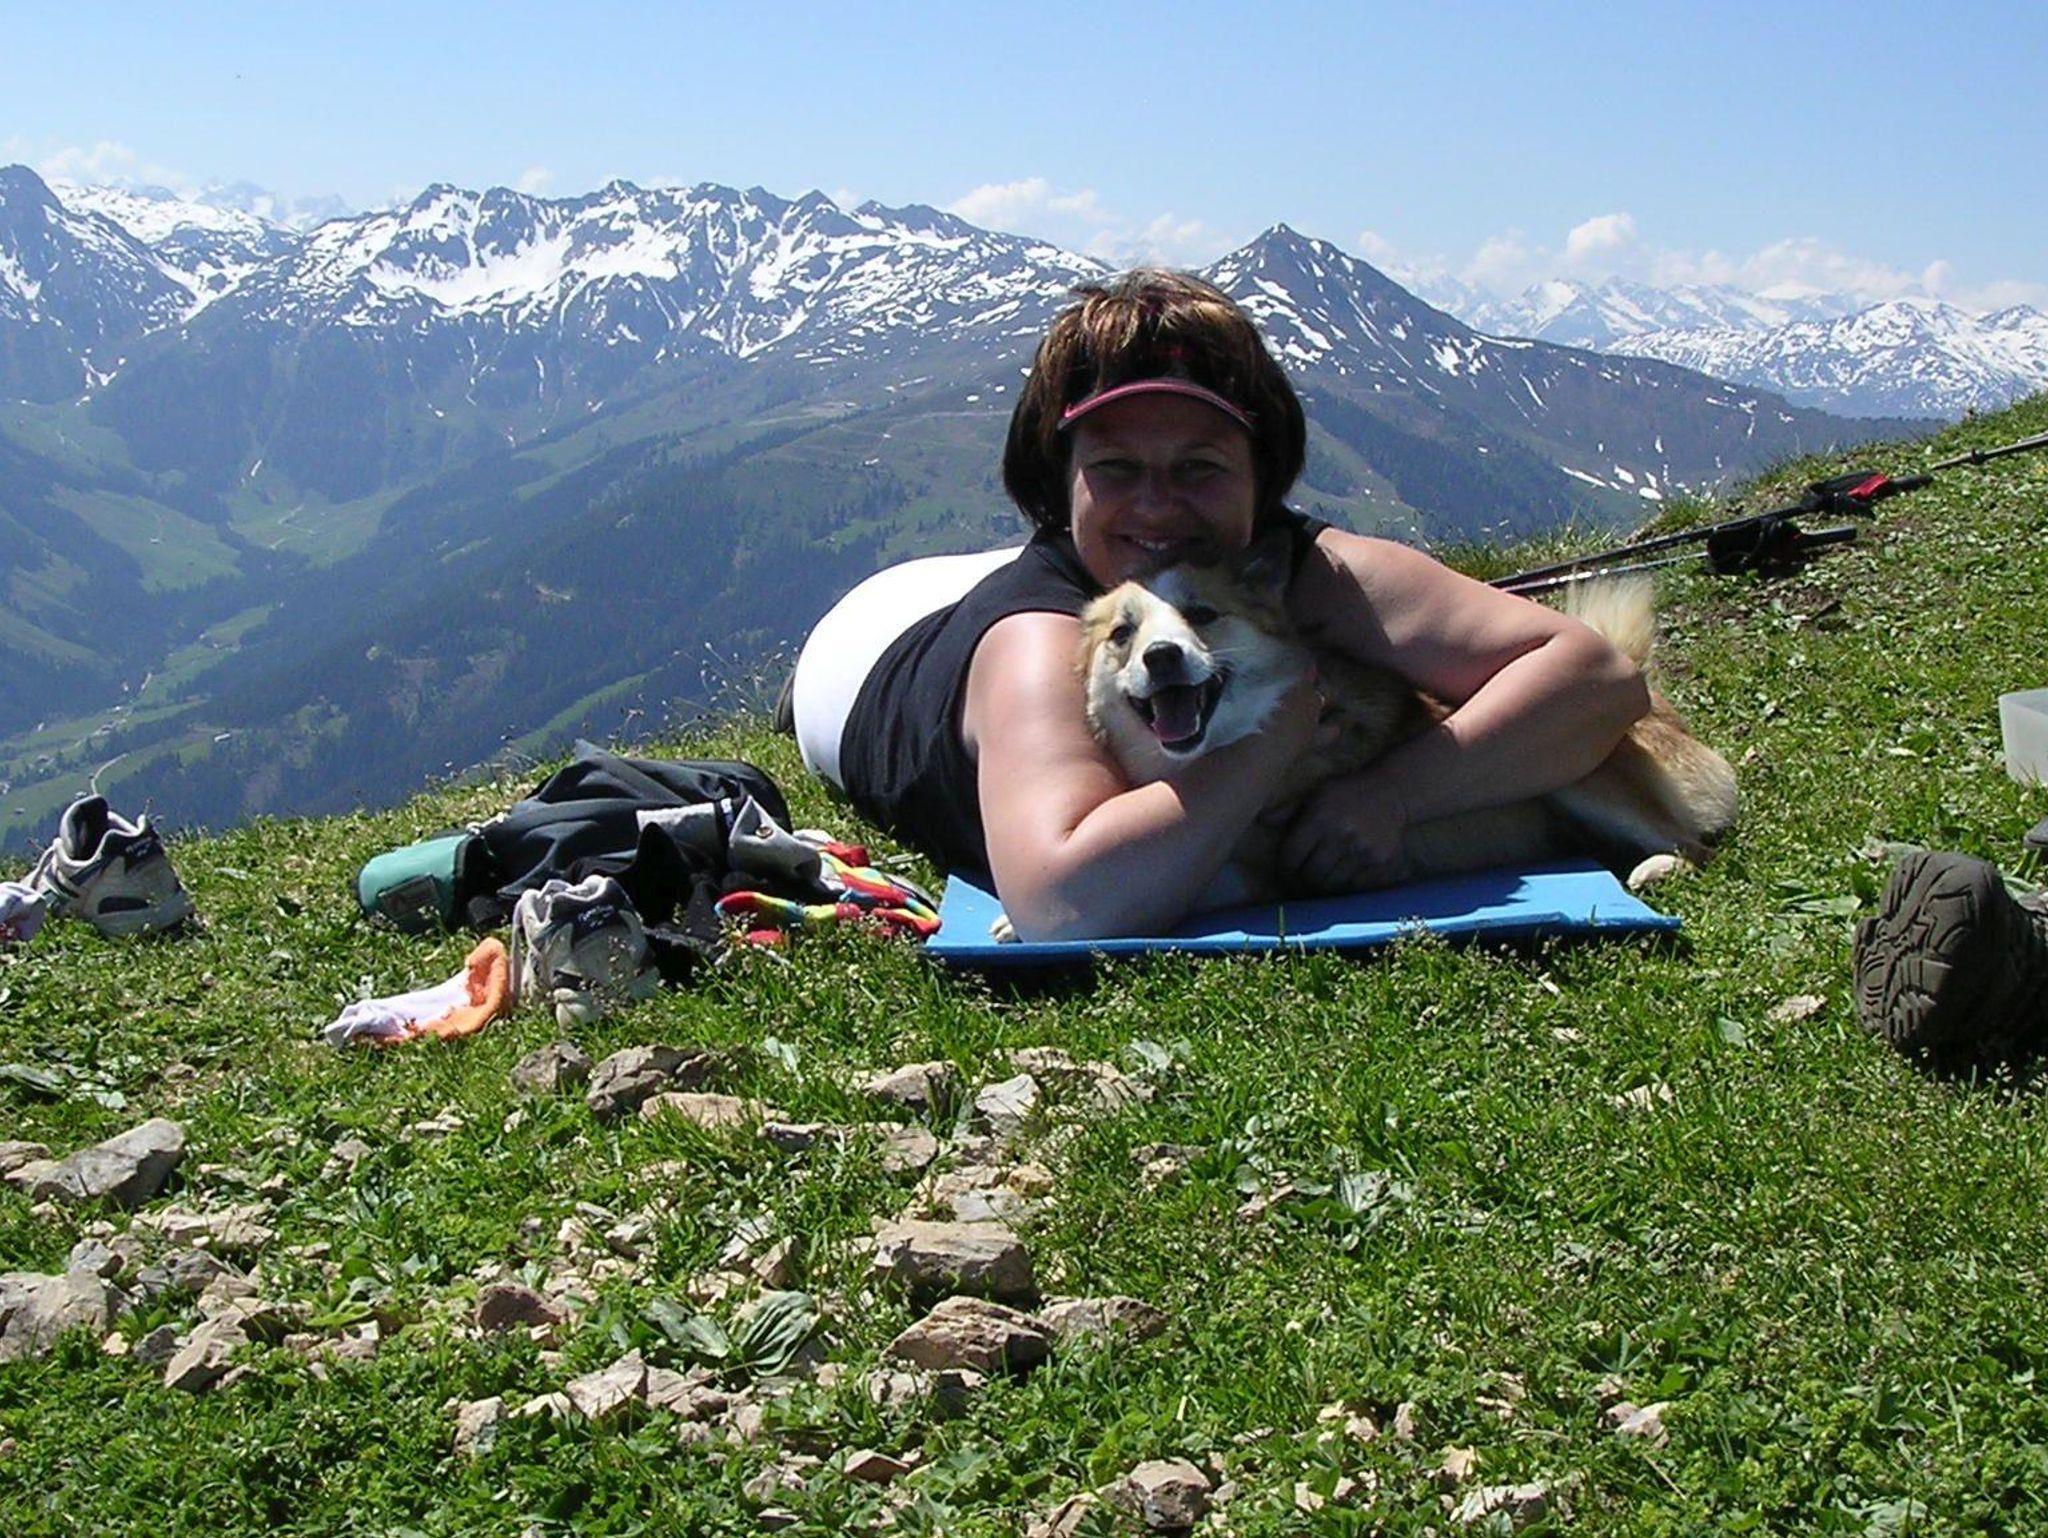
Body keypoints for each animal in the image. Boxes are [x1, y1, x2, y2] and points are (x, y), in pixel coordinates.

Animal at [1076, 529, 1739, 909]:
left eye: (1203, 614)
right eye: (1123, 634)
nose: (1162, 657)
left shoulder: (1274, 868)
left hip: (1586, 776)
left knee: (1694, 847)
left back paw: (1658, 866)